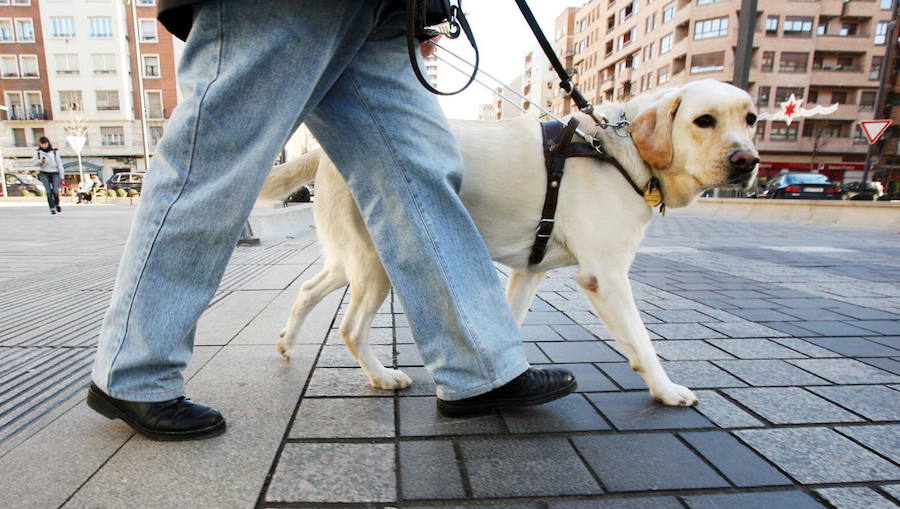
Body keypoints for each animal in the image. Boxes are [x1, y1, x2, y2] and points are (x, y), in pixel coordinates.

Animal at [260, 79, 760, 404]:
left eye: (751, 118)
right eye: (704, 120)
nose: (748, 161)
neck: (618, 151)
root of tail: (324, 154)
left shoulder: (528, 271)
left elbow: (508, 322)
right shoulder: (607, 276)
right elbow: (642, 342)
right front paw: (666, 389)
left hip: (354, 258)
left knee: (308, 288)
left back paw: (285, 342)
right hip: (380, 261)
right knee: (349, 328)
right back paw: (381, 377)